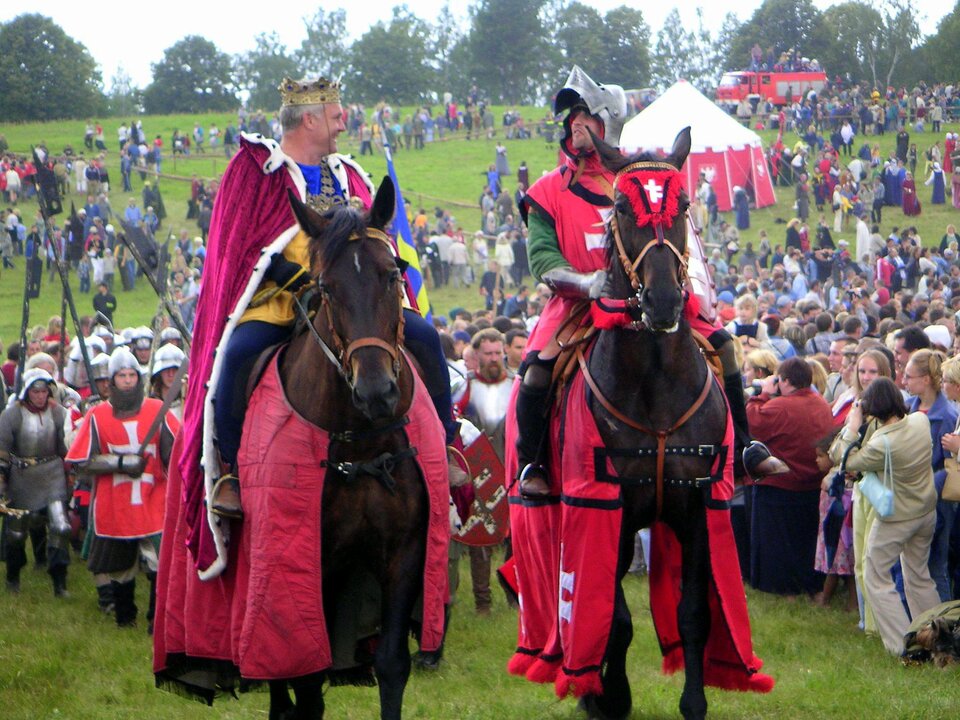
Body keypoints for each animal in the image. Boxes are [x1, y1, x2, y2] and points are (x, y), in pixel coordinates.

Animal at [262, 176, 428, 720]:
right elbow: (307, 679)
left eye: (392, 276)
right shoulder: (306, 562)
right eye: (328, 290)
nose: (377, 393)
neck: (360, 445)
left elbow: (392, 665)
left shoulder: (404, 553)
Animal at [576, 129, 728, 720]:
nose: (663, 301)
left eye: (683, 205)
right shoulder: (610, 517)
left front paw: (694, 701)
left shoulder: (697, 511)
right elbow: (614, 620)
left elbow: (693, 615)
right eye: (622, 207)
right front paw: (611, 696)